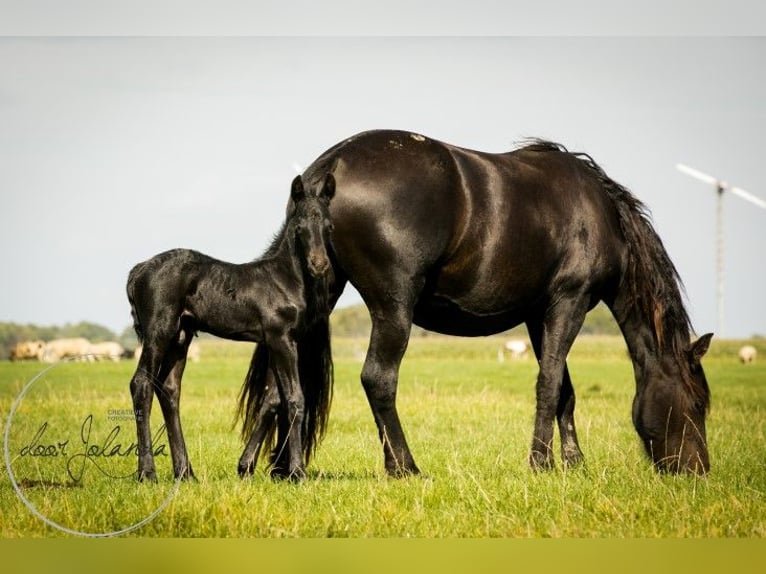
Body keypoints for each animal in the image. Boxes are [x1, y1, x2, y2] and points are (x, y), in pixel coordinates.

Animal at [127, 174, 335, 481]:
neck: (284, 279)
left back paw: (185, 473)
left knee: (169, 389)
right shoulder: (280, 339)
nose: (319, 265)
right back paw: (147, 473)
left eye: (328, 226)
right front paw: (297, 472)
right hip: (158, 333)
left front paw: (246, 467)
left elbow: (272, 400)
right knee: (142, 384)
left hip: (181, 336)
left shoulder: (279, 342)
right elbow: (295, 399)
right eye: (300, 228)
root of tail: (138, 270)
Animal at [241, 129, 713, 477]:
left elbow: (564, 389)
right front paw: (541, 464)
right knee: (378, 379)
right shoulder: (569, 302)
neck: (600, 215)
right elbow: (549, 384)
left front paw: (574, 463)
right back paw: (404, 467)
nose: (698, 471)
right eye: (697, 405)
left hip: (316, 300)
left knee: (278, 389)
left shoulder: (539, 315)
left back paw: (269, 468)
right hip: (394, 309)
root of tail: (329, 165)